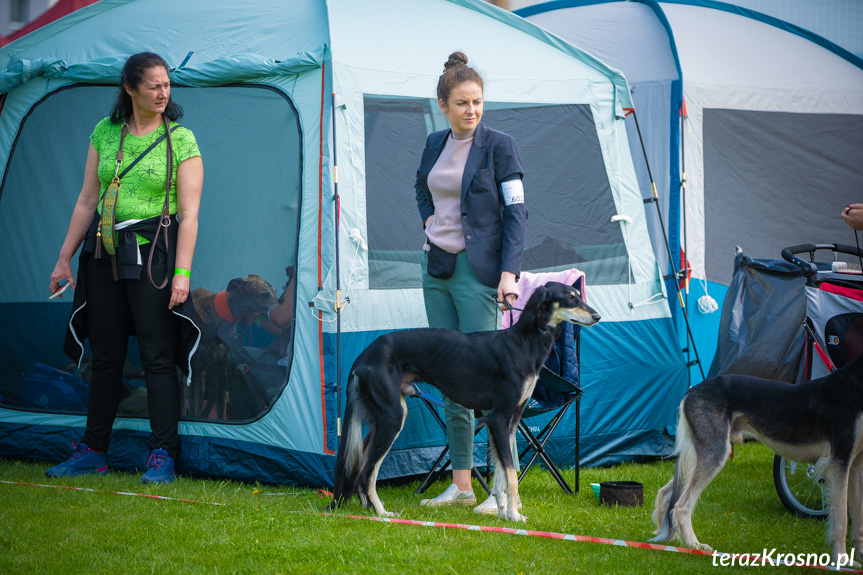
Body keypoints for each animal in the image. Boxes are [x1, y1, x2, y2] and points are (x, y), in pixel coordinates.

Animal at [328, 282, 596, 520]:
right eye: (570, 298)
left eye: (578, 296)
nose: (597, 316)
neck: (523, 342)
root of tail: (363, 356)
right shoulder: (499, 418)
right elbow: (510, 474)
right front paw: (513, 515)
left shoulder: (509, 422)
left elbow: (501, 473)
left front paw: (502, 512)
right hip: (393, 418)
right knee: (367, 472)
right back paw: (381, 512)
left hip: (383, 417)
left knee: (361, 466)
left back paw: (368, 508)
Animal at [652, 354, 863, 564]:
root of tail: (692, 390)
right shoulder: (839, 462)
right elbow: (841, 520)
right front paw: (843, 560)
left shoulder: (855, 466)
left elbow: (858, 519)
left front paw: (858, 554)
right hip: (716, 452)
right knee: (681, 505)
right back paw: (694, 545)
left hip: (700, 454)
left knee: (666, 493)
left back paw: (670, 537)